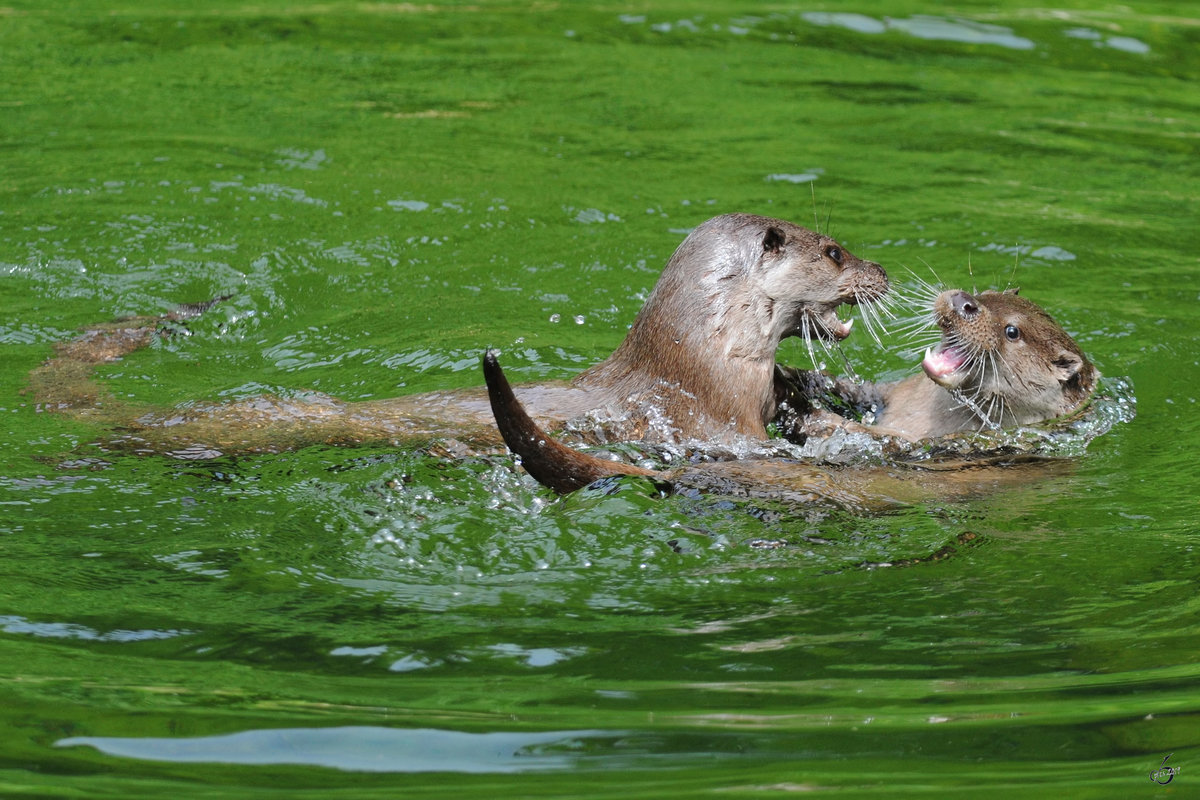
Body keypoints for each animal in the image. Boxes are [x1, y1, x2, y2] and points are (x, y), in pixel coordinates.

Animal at [484, 284, 1099, 491]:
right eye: (986, 291)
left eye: (1012, 331)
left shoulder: (943, 446)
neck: (929, 415)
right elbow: (856, 391)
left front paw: (807, 414)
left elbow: (866, 437)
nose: (964, 302)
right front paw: (794, 379)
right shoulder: (893, 395)